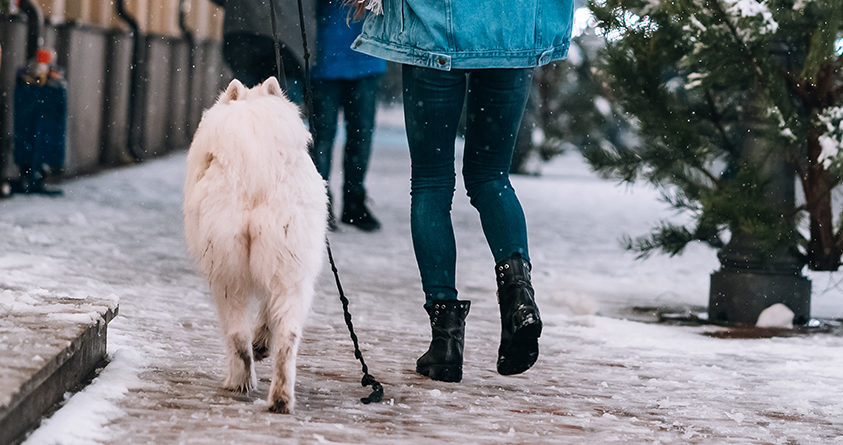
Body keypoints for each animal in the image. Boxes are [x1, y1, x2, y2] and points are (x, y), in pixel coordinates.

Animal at [184, 76, 326, 412]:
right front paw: (263, 343)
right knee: (286, 338)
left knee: (236, 334)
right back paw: (280, 397)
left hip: (226, 273)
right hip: (287, 271)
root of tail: (259, 178)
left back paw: (239, 381)